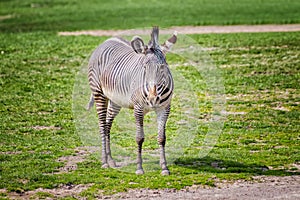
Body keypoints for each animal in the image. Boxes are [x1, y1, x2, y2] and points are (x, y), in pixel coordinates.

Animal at [87, 27, 176, 175]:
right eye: (144, 67)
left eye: (163, 67)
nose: (153, 97)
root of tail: (108, 39)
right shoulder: (138, 108)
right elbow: (139, 138)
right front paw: (139, 168)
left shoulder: (164, 108)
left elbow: (162, 138)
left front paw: (164, 168)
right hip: (99, 93)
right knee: (102, 125)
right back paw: (104, 162)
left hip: (115, 101)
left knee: (107, 125)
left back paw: (111, 160)